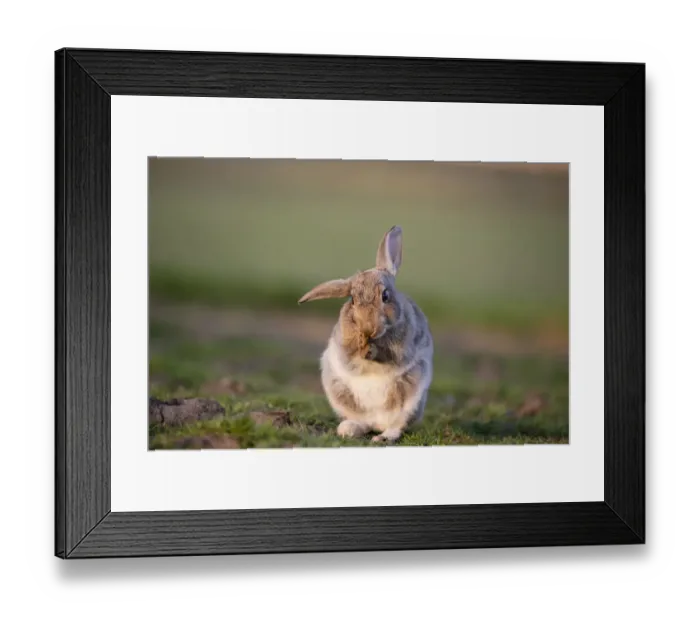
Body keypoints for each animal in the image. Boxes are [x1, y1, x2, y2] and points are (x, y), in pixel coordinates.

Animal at [298, 225, 433, 445]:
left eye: (385, 296)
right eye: (352, 300)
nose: (369, 328)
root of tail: (377, 422)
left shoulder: (404, 347)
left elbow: (391, 355)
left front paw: (371, 350)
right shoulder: (344, 346)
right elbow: (351, 355)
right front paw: (362, 347)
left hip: (410, 398)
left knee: (396, 426)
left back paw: (382, 437)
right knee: (362, 423)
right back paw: (348, 430)